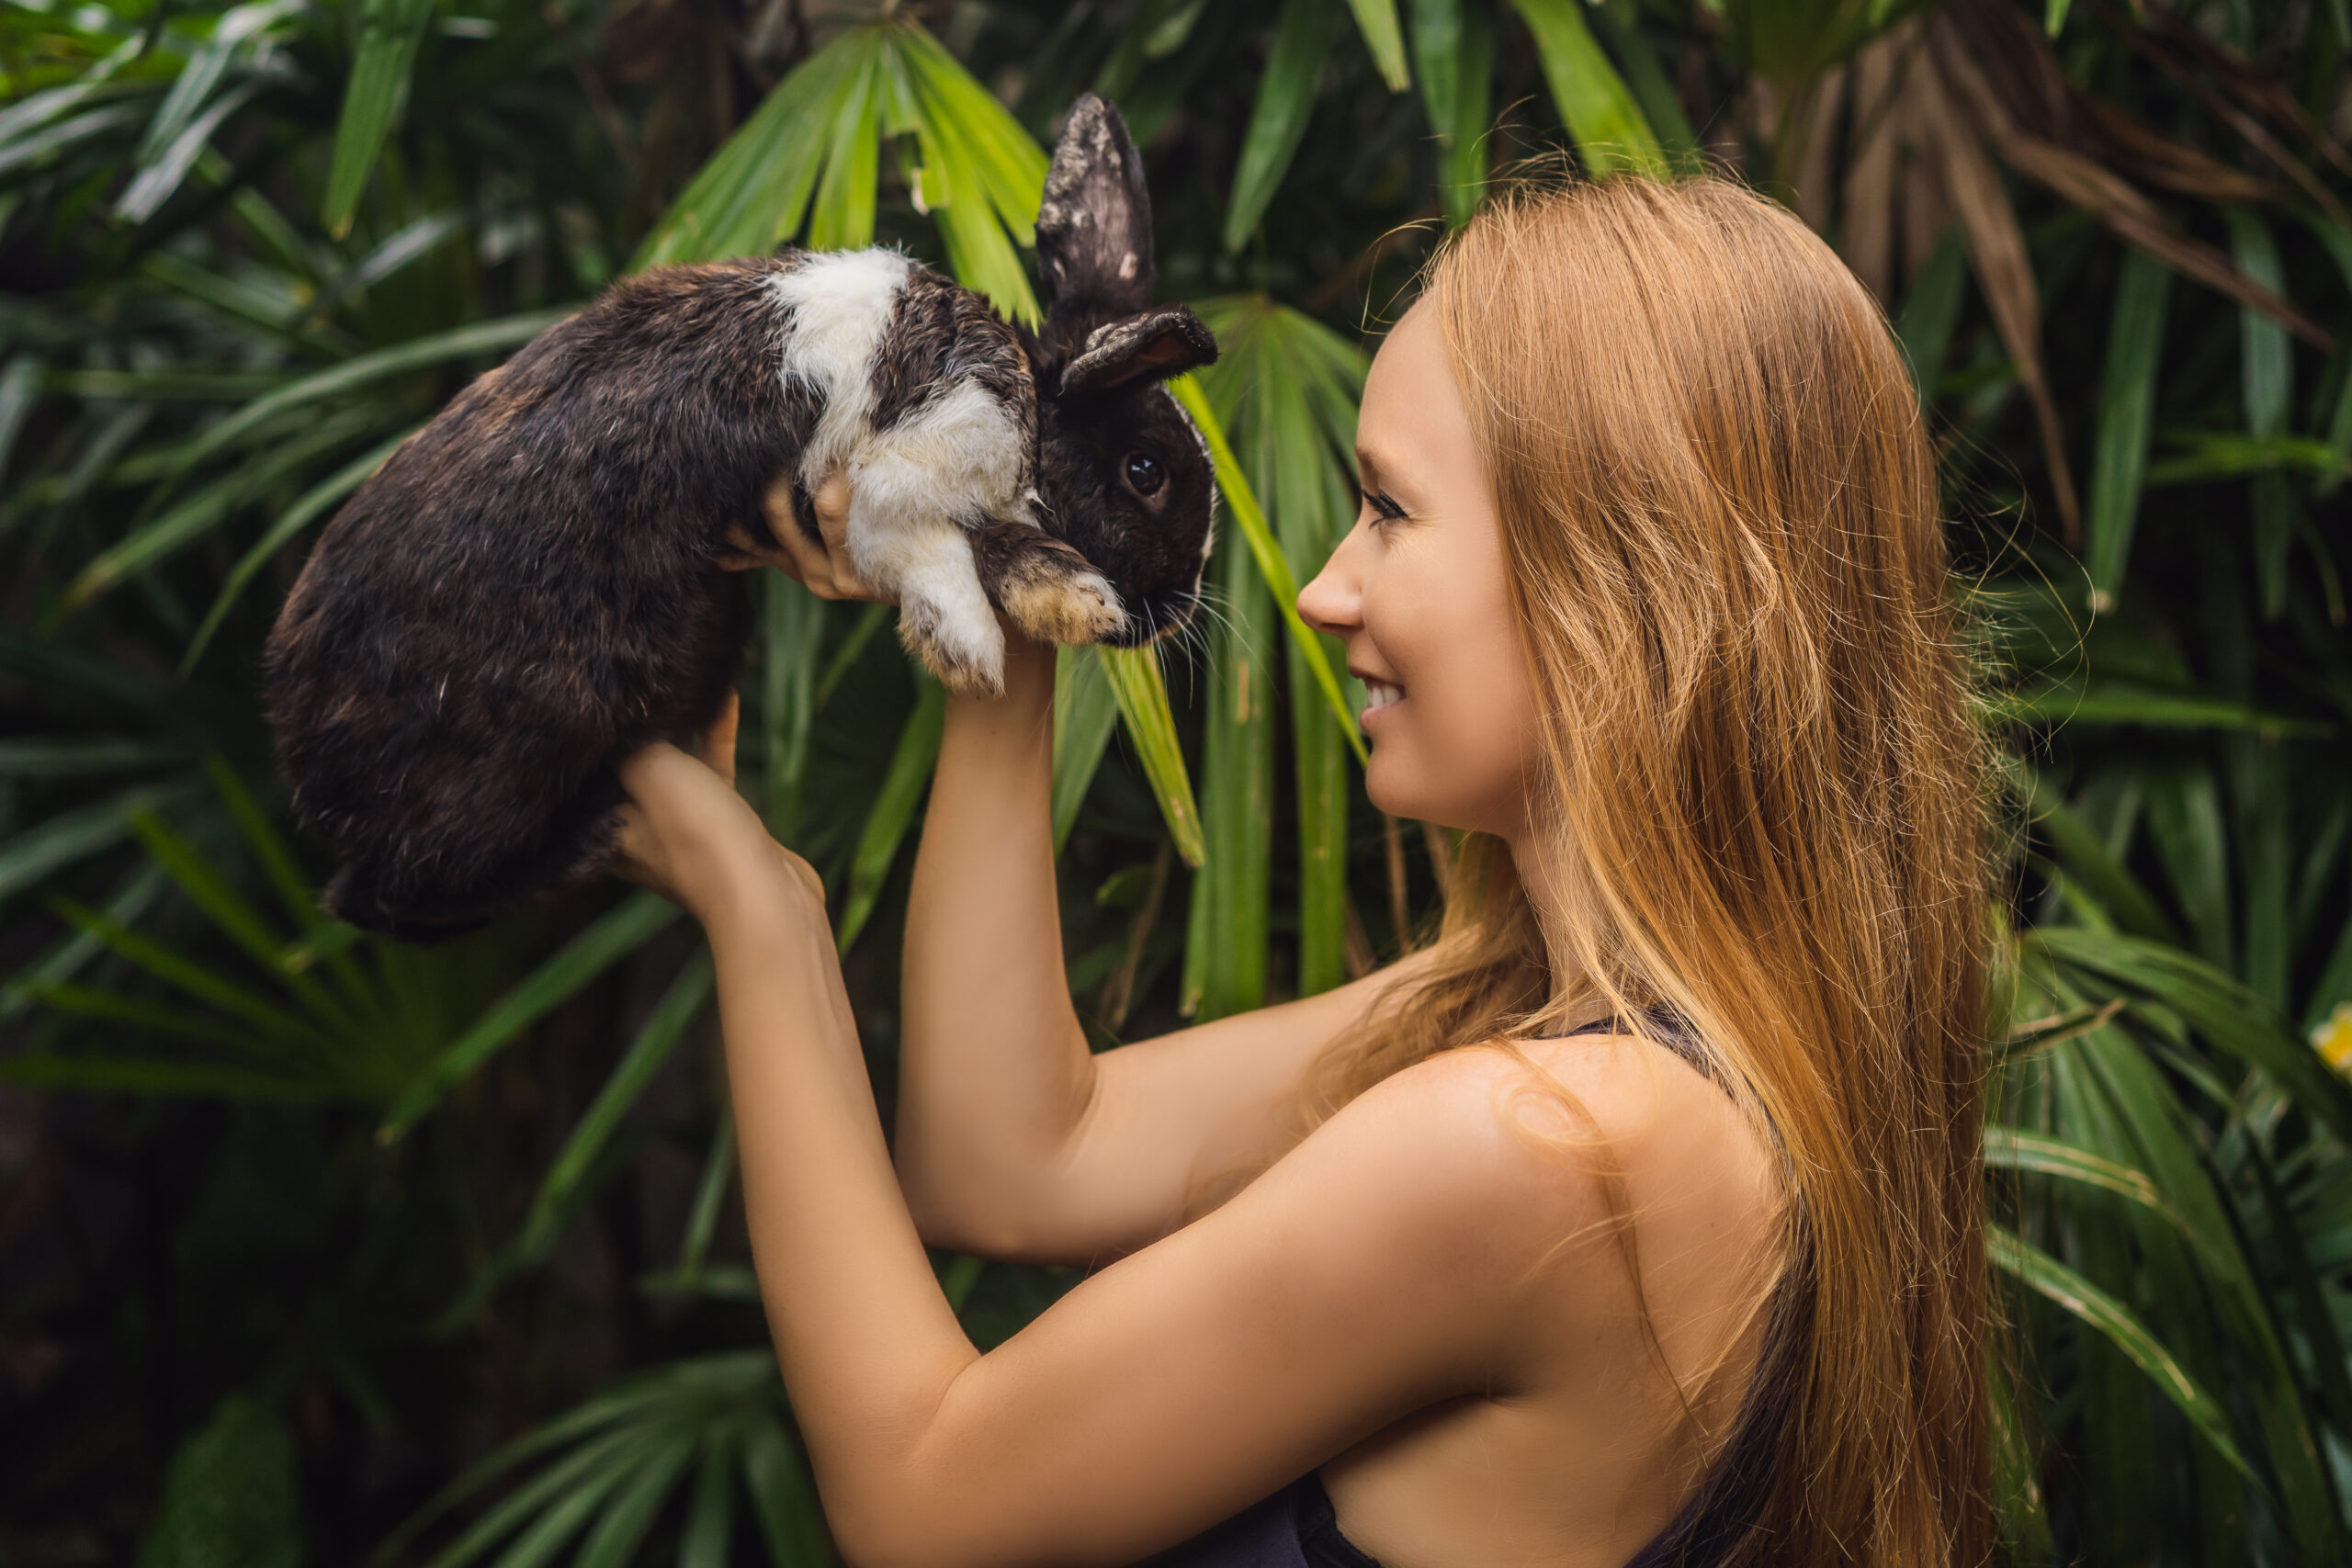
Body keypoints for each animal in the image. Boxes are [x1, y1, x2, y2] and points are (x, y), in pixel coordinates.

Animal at [262, 97, 1213, 940]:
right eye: (1146, 472)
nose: (1174, 612)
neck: (1030, 396)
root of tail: (295, 735)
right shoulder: (888, 475)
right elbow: (942, 546)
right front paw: (973, 648)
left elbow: (999, 541)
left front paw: (1069, 599)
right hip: (504, 762)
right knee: (377, 894)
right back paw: (589, 834)